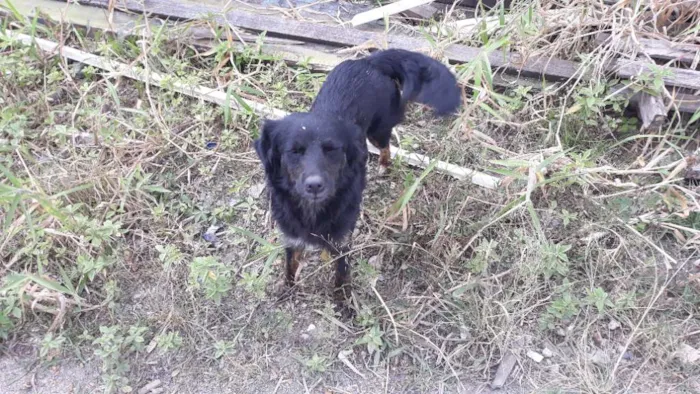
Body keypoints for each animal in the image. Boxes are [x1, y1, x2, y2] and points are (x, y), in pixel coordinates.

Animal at [254, 47, 462, 300]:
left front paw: (343, 302)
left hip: (378, 130)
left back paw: (384, 165)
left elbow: (341, 276)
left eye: (332, 149)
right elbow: (290, 266)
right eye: (294, 151)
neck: (313, 210)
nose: (314, 185)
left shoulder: (342, 242)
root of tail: (370, 61)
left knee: (386, 146)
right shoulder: (292, 237)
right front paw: (288, 289)